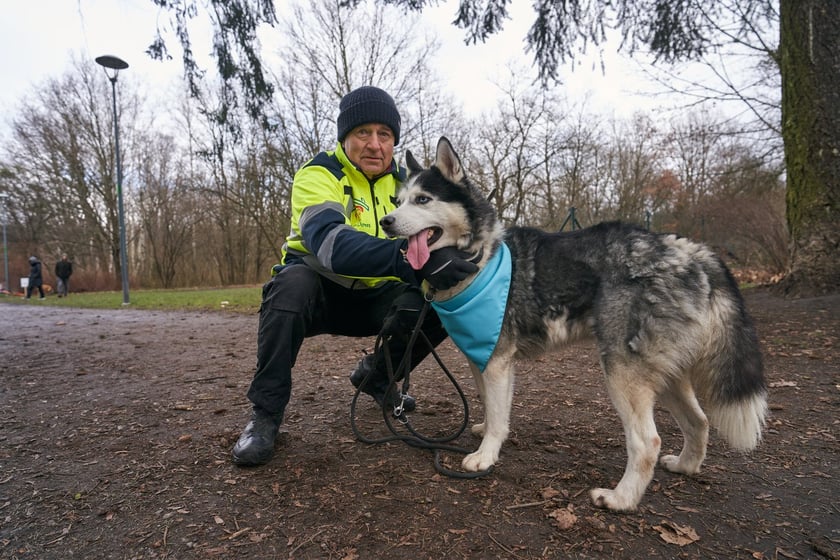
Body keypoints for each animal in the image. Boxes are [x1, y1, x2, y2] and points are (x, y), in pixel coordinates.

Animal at [380, 137, 768, 512]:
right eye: (398, 201)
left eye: (423, 199)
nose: (386, 221)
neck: (481, 257)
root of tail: (690, 250)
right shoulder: (483, 360)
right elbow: (492, 410)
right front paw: (487, 434)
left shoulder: (497, 361)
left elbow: (498, 416)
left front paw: (485, 457)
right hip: (667, 375)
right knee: (699, 421)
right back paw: (686, 466)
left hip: (622, 372)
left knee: (647, 442)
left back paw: (620, 500)